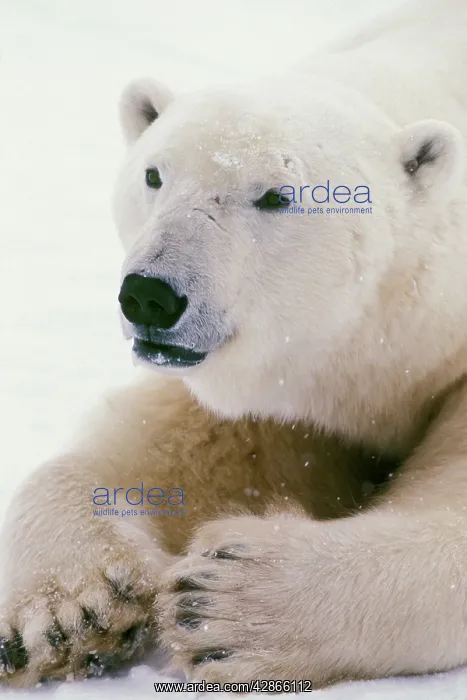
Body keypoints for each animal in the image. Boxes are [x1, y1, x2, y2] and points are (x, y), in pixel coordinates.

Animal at [1, 0, 467, 689]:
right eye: (154, 173)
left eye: (276, 195)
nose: (150, 295)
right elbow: (182, 447)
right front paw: (68, 609)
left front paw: (223, 601)